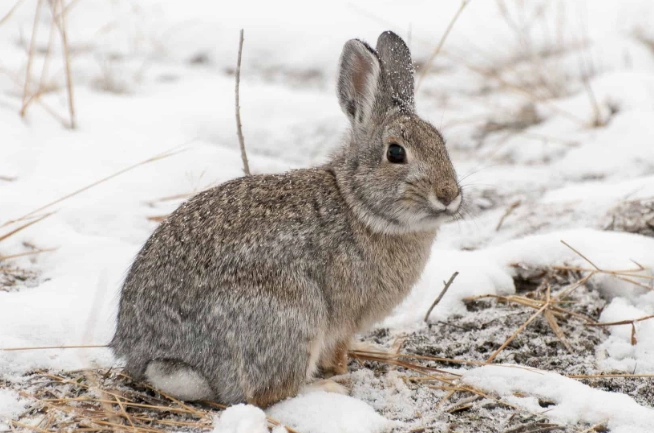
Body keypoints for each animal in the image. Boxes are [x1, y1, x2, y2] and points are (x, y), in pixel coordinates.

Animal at [111, 30, 462, 407]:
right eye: (395, 153)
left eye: (442, 143)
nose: (449, 195)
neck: (357, 204)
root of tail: (158, 357)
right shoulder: (343, 320)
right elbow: (336, 353)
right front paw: (342, 372)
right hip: (291, 317)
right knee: (267, 393)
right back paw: (329, 389)